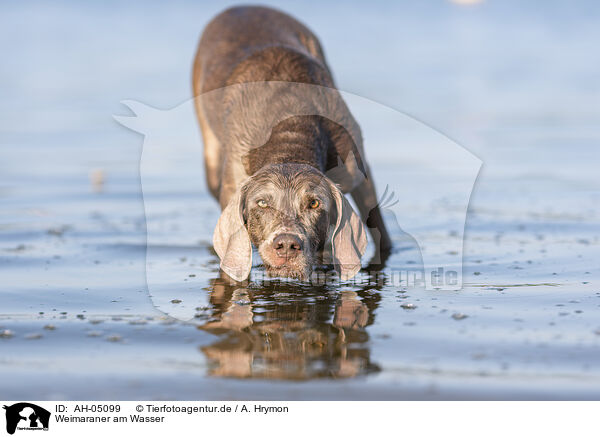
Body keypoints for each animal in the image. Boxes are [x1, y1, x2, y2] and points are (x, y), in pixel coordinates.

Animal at [191, 5, 390, 282]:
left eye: (314, 203)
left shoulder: (355, 170)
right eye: (262, 203)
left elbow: (377, 224)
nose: (286, 244)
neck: (290, 129)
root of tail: (240, 7)